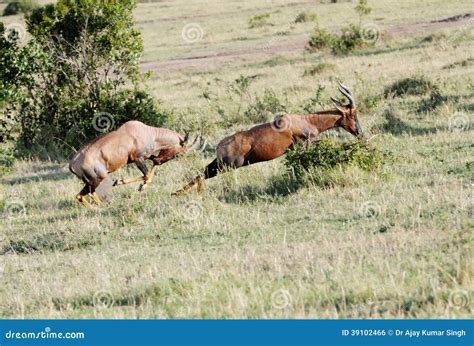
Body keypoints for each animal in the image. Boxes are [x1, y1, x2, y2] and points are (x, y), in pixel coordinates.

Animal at [69, 119, 203, 205]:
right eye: (177, 154)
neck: (146, 132)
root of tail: (72, 164)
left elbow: (150, 171)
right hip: (96, 179)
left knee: (83, 195)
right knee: (83, 194)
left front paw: (136, 185)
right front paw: (136, 185)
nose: (160, 161)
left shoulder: (145, 157)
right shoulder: (138, 158)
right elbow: (147, 175)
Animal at [174, 81, 362, 195]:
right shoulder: (304, 144)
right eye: (353, 114)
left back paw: (178, 193)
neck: (303, 121)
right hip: (228, 165)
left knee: (201, 172)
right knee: (203, 174)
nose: (360, 133)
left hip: (221, 164)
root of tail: (220, 145)